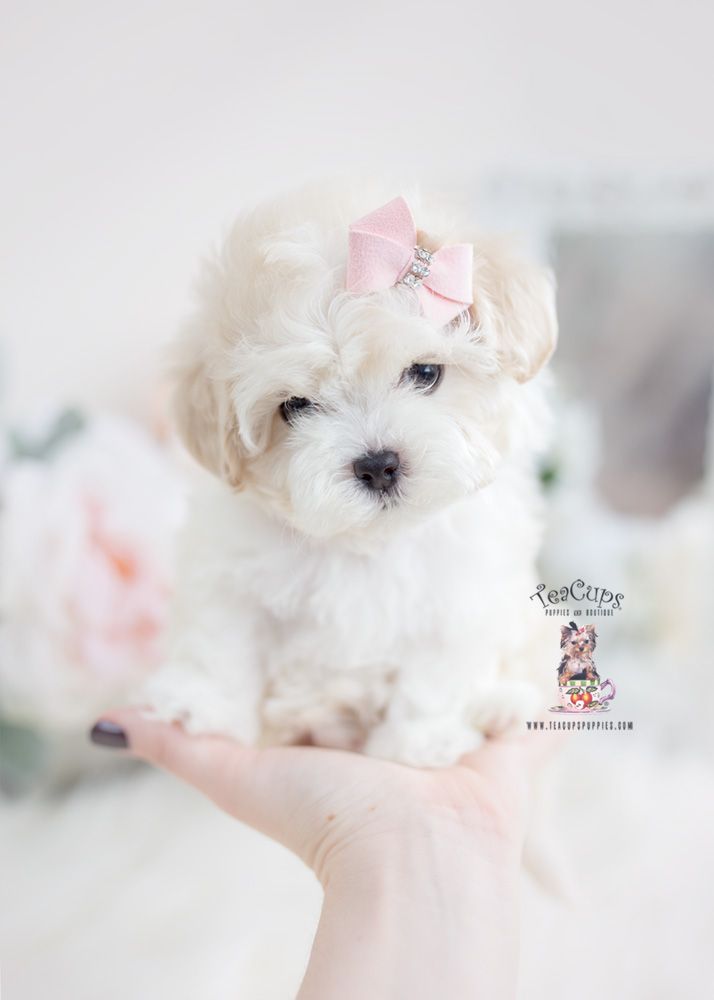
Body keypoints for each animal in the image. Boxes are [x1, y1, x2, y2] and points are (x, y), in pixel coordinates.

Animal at [145, 184, 556, 764]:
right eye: (294, 406)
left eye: (425, 373)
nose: (378, 465)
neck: (366, 545)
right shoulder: (228, 574)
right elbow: (221, 640)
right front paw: (202, 704)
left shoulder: (463, 596)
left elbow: (434, 676)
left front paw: (419, 741)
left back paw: (500, 705)